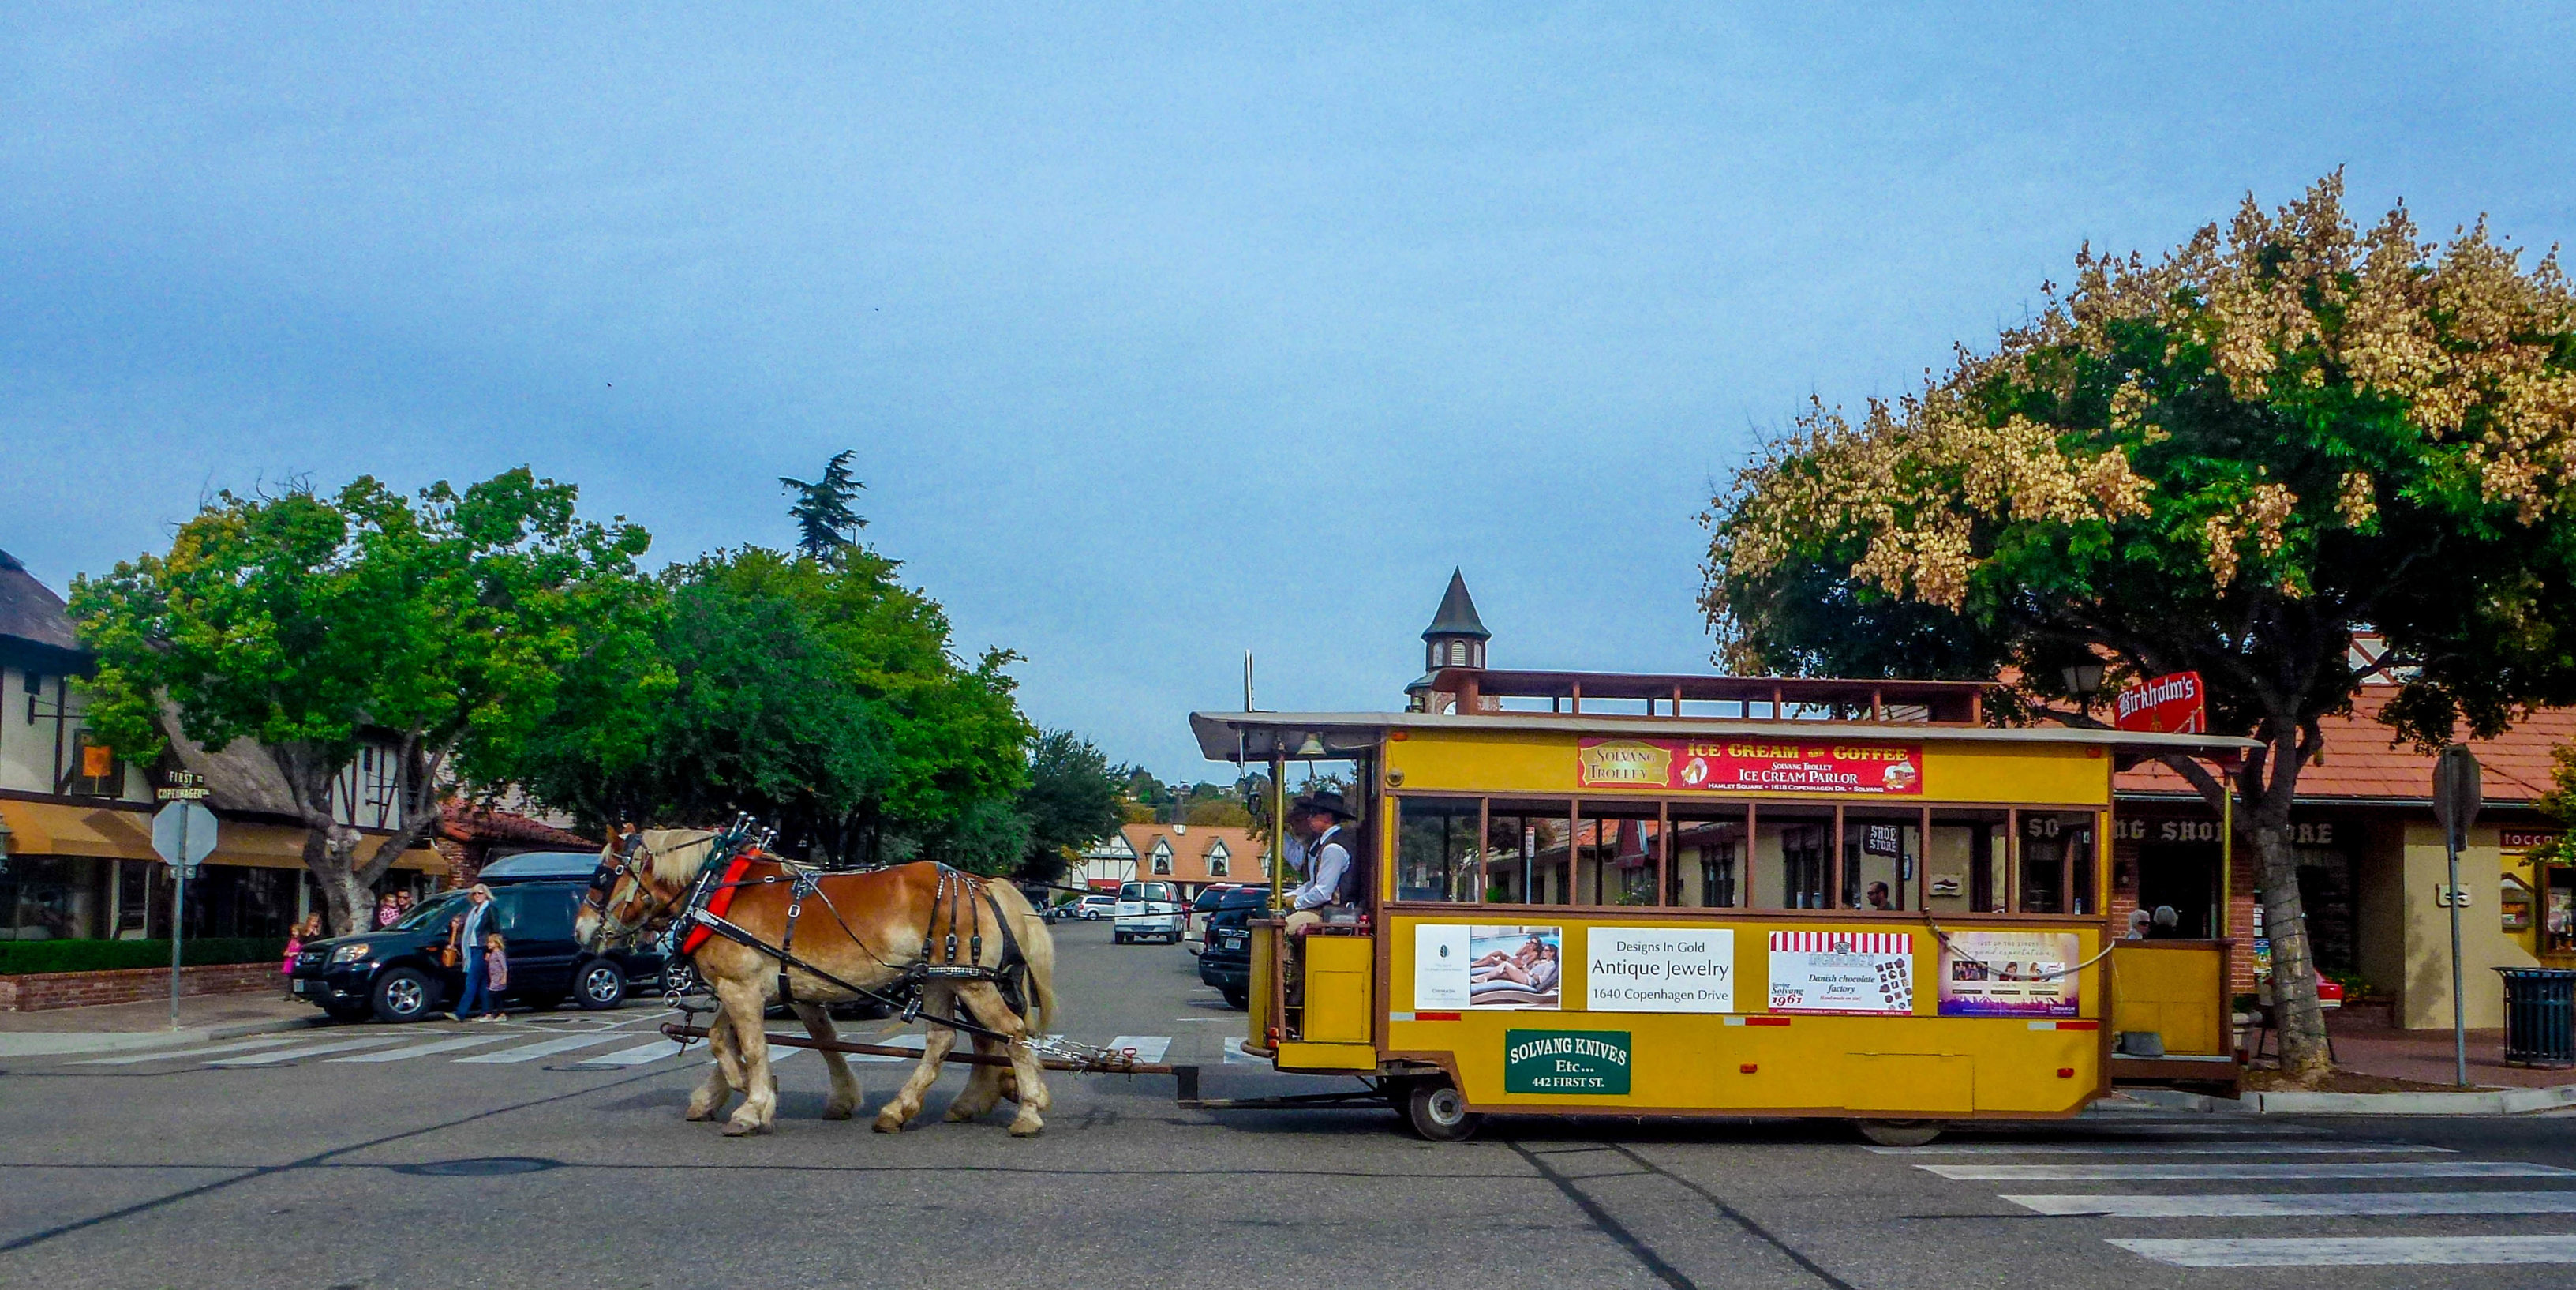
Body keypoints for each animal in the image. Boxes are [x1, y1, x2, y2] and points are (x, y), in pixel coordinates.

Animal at [582, 829, 1056, 1133]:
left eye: (601, 876)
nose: (581, 931)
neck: (719, 889)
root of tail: (982, 883)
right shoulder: (763, 989)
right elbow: (733, 1040)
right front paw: (726, 1094)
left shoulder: (740, 987)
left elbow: (751, 1046)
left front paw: (753, 1104)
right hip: (944, 980)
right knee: (946, 1041)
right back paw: (902, 1110)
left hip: (971, 983)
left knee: (1011, 1033)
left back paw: (1029, 1110)